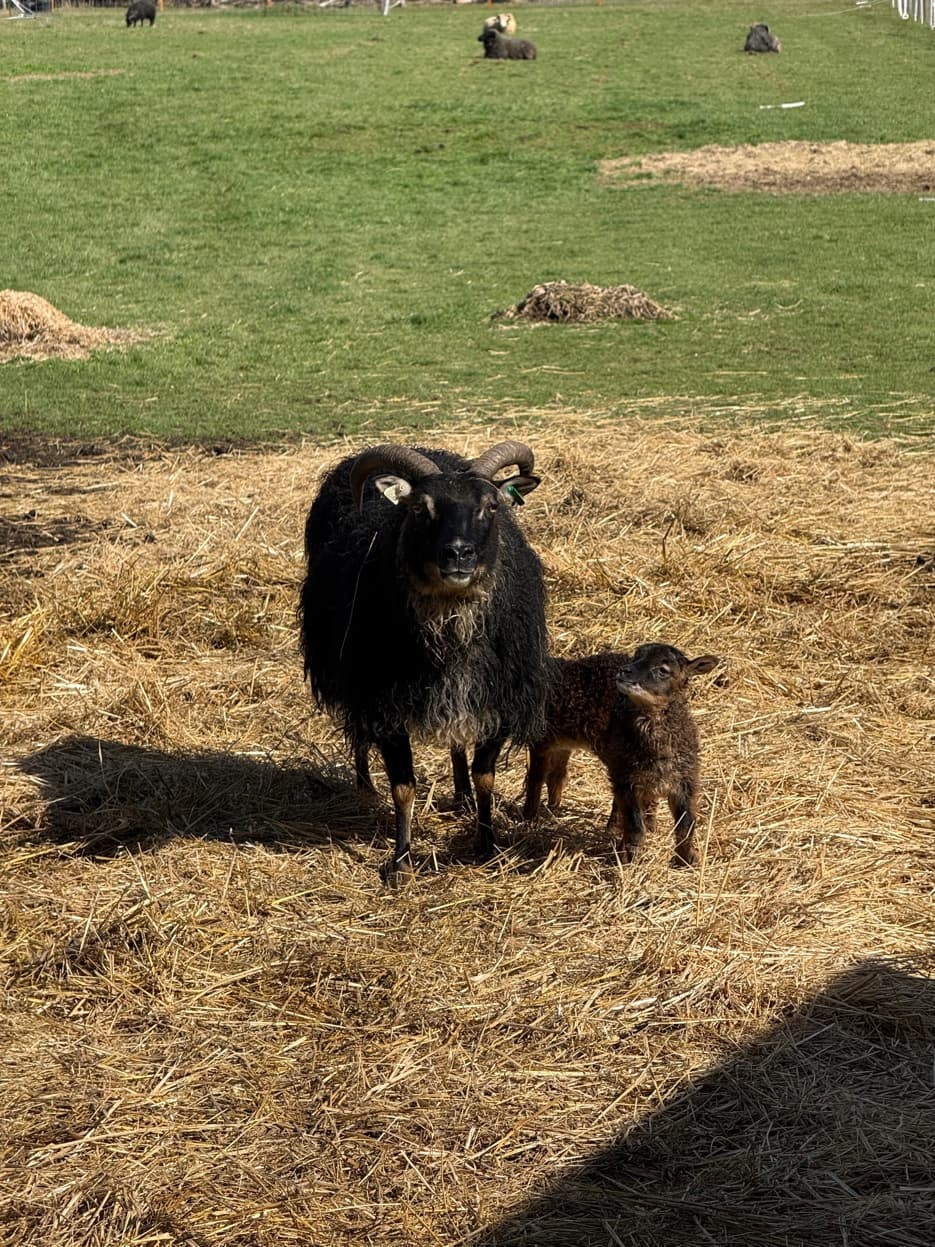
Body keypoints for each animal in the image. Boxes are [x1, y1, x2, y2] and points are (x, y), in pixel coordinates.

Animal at [300, 441, 549, 879]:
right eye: (419, 508)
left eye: (491, 506)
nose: (458, 554)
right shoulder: (383, 701)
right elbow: (404, 787)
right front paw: (400, 859)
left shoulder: (501, 698)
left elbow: (485, 777)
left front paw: (487, 844)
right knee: (358, 734)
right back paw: (365, 789)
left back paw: (461, 795)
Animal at [523, 643, 721, 866]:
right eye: (636, 657)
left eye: (663, 670)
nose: (625, 671)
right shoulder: (628, 779)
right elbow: (635, 825)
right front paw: (629, 858)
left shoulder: (684, 780)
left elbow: (686, 825)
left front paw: (687, 859)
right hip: (546, 734)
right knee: (537, 775)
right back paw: (530, 817)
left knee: (558, 772)